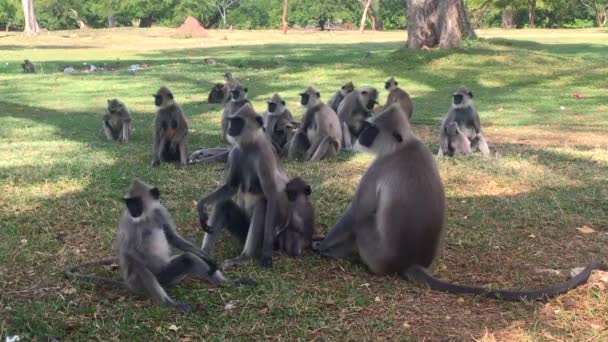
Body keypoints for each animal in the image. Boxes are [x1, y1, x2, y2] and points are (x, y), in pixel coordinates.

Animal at [117, 179, 253, 312]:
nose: (131, 209)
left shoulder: (159, 211)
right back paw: (169, 303)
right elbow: (129, 252)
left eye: (136, 202)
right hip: (136, 283)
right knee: (141, 267)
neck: (147, 215)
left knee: (188, 258)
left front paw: (207, 258)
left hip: (169, 278)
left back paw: (228, 282)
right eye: (129, 203)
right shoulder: (129, 222)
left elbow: (173, 237)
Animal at [196, 104, 288, 270]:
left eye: (238, 121)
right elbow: (231, 187)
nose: (230, 128)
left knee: (262, 205)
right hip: (242, 231)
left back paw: (244, 257)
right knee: (223, 204)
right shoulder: (235, 152)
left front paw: (266, 253)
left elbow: (271, 195)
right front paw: (201, 206)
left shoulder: (264, 155)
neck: (249, 145)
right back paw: (204, 255)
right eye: (232, 120)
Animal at [316, 104, 604, 302]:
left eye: (373, 130)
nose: (362, 135)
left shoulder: (379, 167)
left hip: (374, 252)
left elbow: (355, 213)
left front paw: (319, 246)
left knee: (362, 224)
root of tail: (411, 262)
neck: (403, 147)